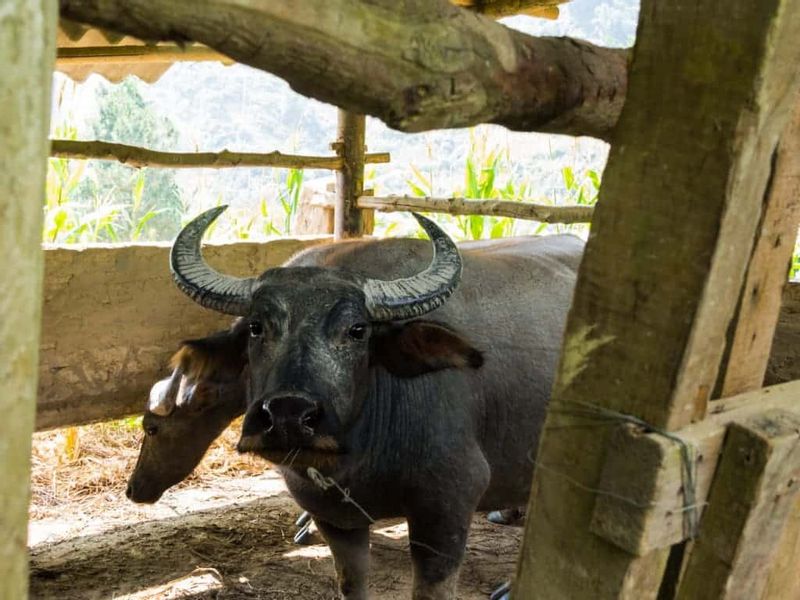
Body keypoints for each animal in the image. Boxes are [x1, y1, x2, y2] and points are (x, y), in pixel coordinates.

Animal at [169, 207, 580, 600]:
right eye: (256, 327)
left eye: (357, 330)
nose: (288, 415)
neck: (356, 459)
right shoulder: (333, 515)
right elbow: (351, 583)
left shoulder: (448, 504)